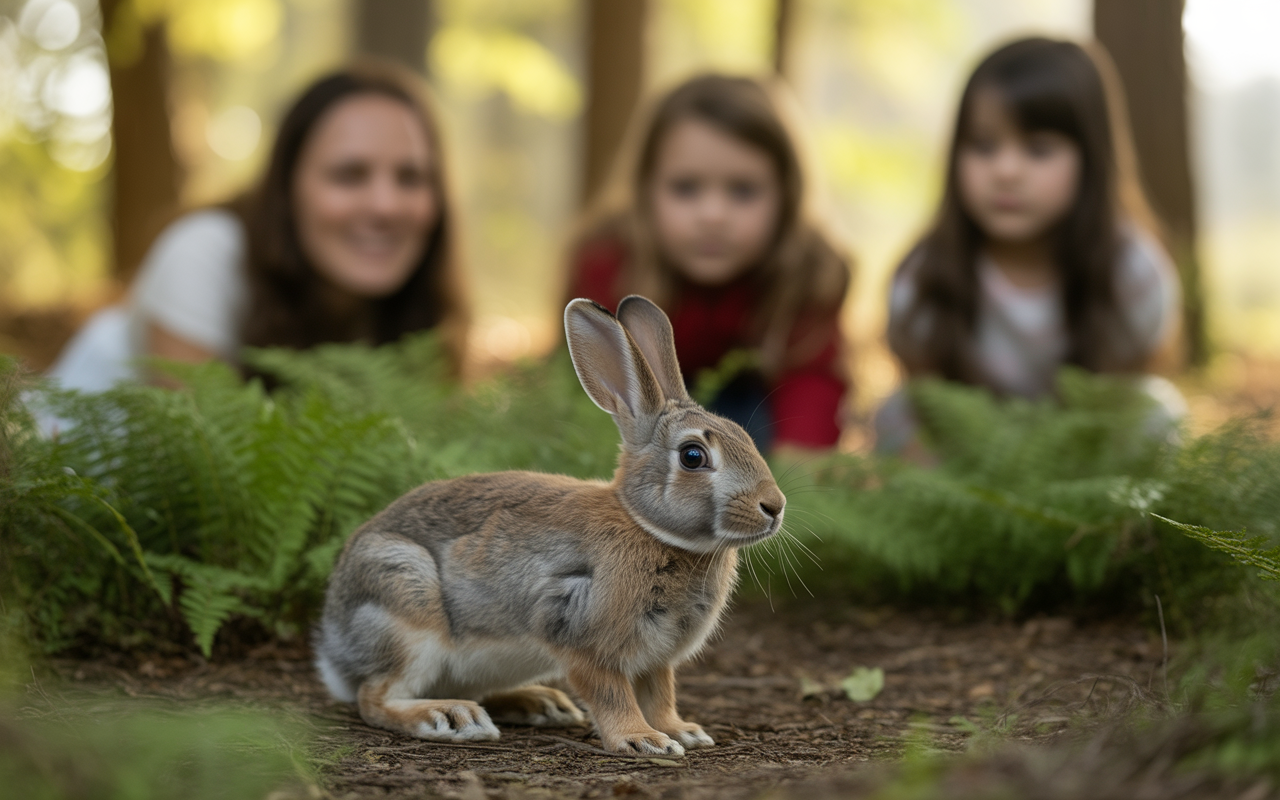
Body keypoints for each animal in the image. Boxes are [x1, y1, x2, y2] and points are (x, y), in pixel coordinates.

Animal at [314, 295, 786, 756]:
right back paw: (449, 717)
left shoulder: (657, 660)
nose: (775, 506)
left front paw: (682, 731)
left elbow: (660, 694)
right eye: (693, 456)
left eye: (743, 437)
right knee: (375, 697)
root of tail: (333, 649)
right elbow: (612, 695)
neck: (649, 527)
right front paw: (642, 739)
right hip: (405, 605)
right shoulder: (580, 634)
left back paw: (540, 703)